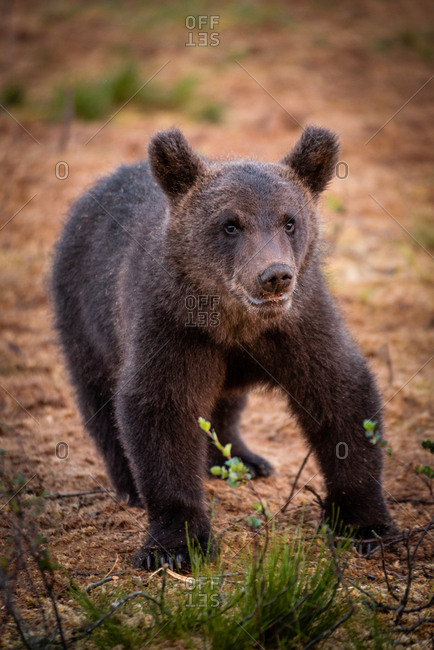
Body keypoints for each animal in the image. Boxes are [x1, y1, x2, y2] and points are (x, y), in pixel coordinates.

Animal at [51, 126, 394, 570]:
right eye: (230, 224)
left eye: (289, 221)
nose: (275, 275)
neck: (235, 323)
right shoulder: (172, 326)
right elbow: (160, 410)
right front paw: (176, 544)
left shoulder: (298, 325)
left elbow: (341, 395)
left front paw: (366, 524)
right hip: (83, 317)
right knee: (97, 396)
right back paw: (129, 485)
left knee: (226, 402)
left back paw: (243, 459)